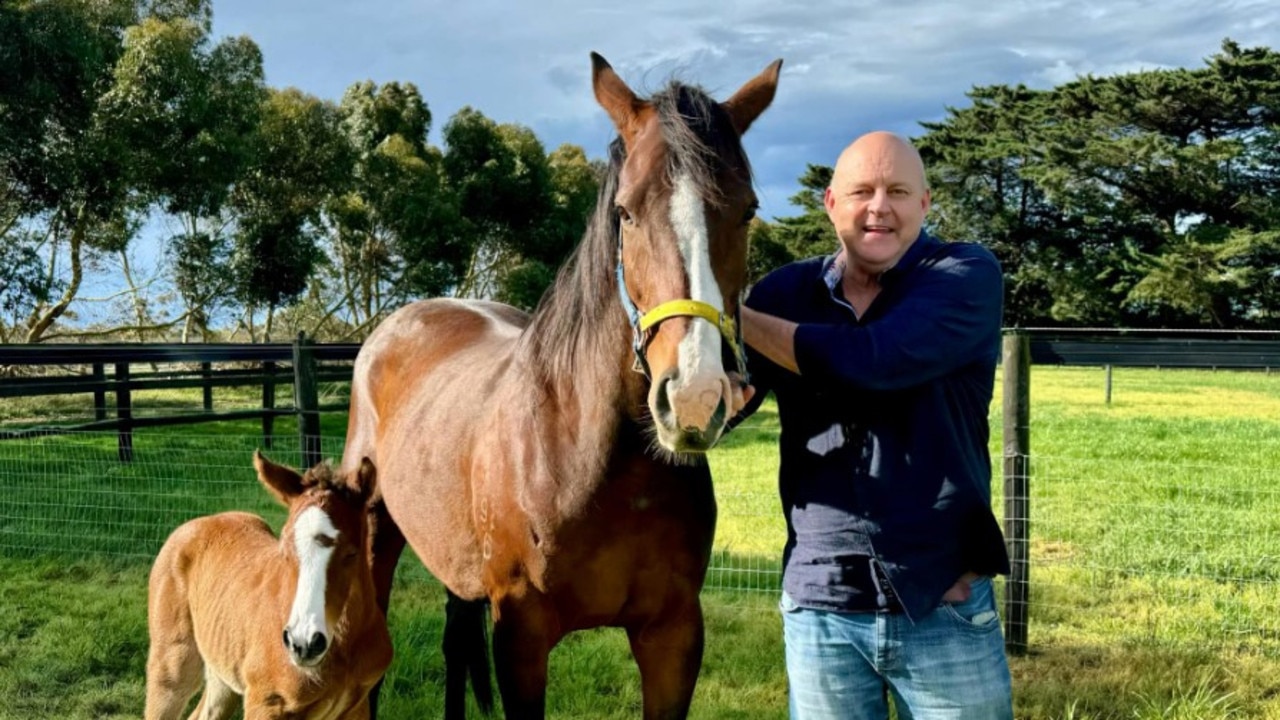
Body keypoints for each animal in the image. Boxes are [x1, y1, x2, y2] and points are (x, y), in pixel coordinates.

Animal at [143, 450, 386, 712]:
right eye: (284, 548)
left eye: (352, 553)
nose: (304, 643)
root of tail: (196, 522)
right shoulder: (266, 702)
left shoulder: (357, 705)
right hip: (172, 664)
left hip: (223, 669)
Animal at [343, 51, 778, 717]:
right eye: (625, 211)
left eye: (747, 209)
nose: (694, 398)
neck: (590, 459)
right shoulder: (521, 638)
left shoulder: (674, 635)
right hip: (373, 536)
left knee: (454, 641)